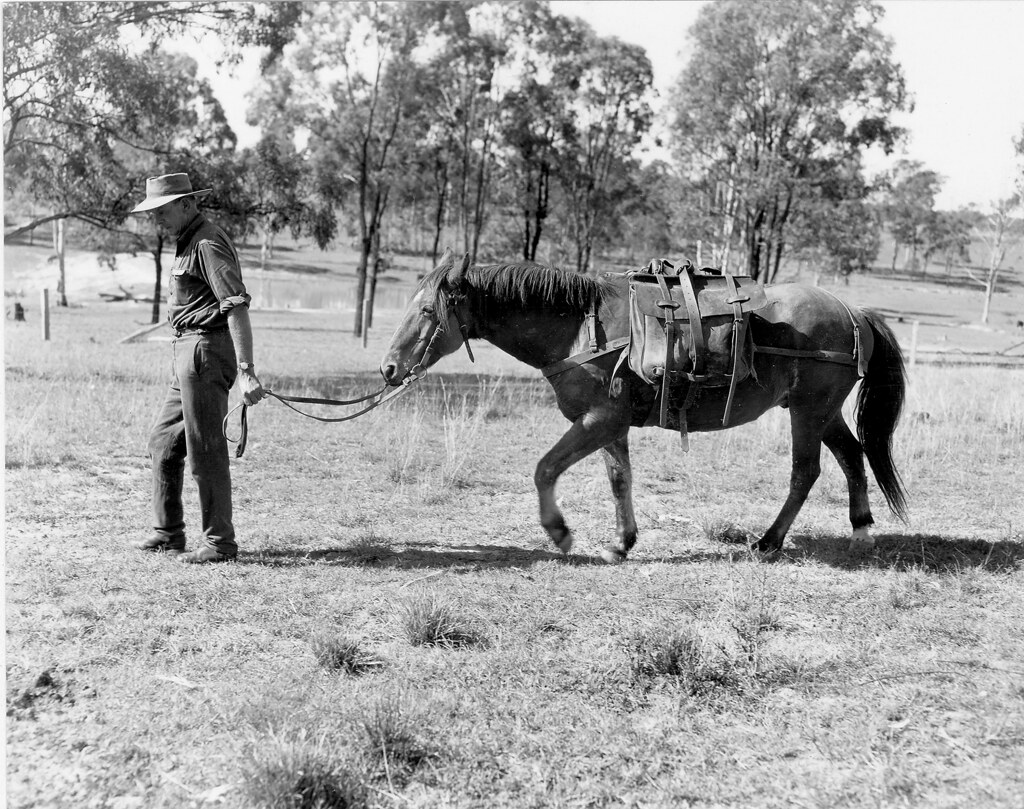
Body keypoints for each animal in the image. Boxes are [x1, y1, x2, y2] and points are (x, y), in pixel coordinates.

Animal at [380, 249, 907, 563]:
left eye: (426, 311)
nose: (388, 368)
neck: (581, 327)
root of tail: (852, 311)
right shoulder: (610, 424)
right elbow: (620, 479)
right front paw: (621, 542)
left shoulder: (597, 420)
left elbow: (545, 469)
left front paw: (560, 533)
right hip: (822, 412)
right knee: (852, 456)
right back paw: (861, 530)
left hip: (808, 412)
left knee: (806, 471)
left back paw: (770, 540)